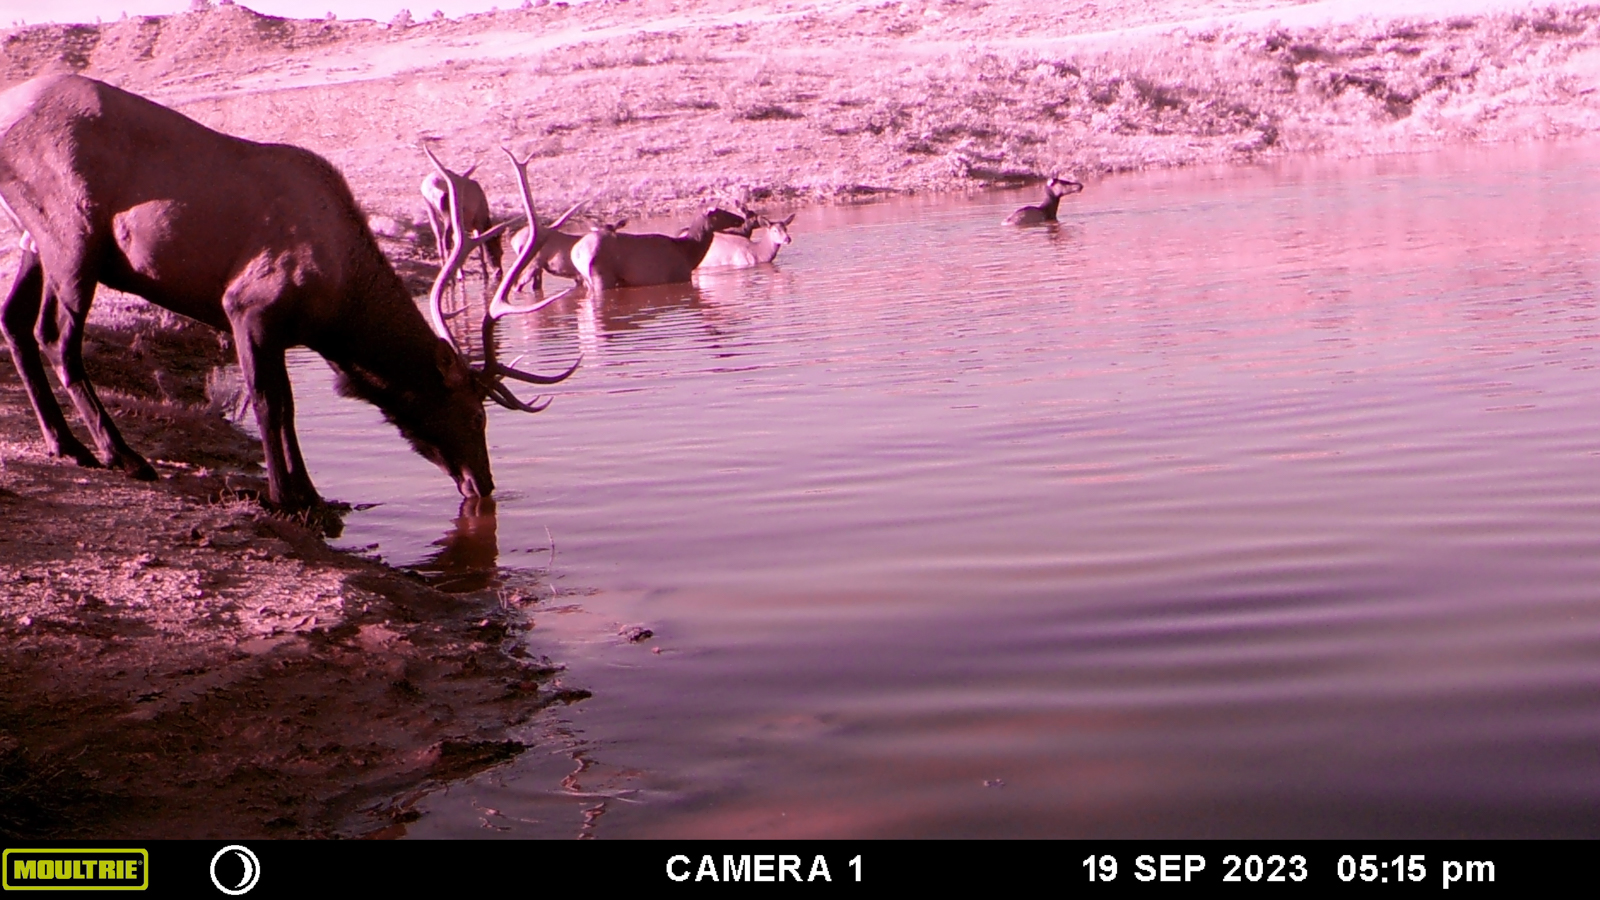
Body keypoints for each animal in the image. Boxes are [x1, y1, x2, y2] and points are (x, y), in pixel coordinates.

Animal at [0, 74, 575, 513]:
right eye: (477, 415)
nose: (484, 485)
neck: (338, 311)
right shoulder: (248, 305)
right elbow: (268, 401)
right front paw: (288, 497)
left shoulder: (281, 329)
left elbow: (288, 404)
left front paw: (313, 494)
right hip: (73, 235)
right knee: (55, 336)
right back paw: (124, 456)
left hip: (35, 237)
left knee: (15, 321)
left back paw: (66, 445)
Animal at [569, 207, 747, 293]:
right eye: (722, 213)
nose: (740, 218)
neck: (689, 254)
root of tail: (576, 253)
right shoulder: (680, 275)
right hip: (602, 275)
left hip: (588, 279)